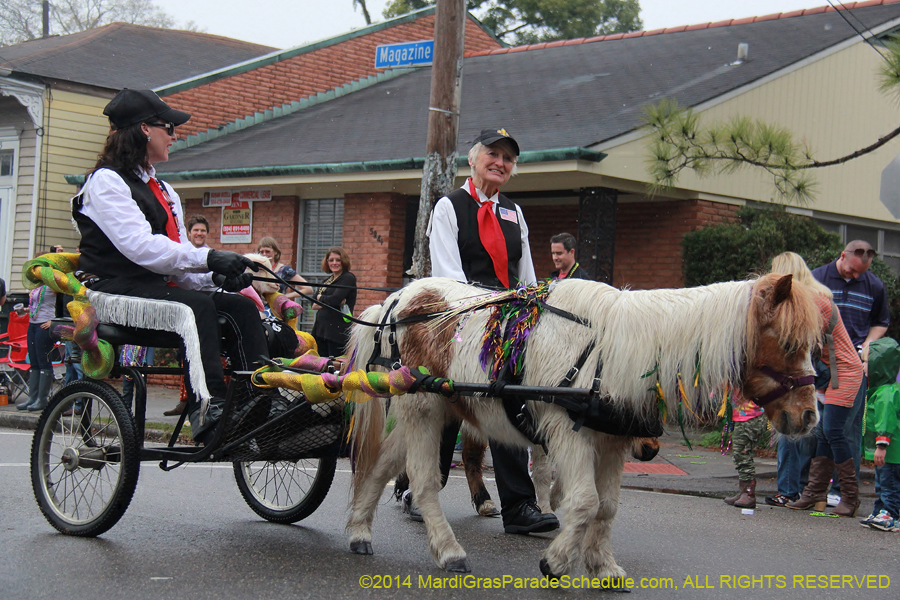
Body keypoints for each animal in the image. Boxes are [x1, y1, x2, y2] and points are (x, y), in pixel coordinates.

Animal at [344, 276, 824, 576]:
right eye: (788, 343)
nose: (809, 417)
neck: (612, 353)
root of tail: (398, 299)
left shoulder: (611, 443)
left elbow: (607, 506)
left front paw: (602, 566)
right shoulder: (567, 433)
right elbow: (584, 501)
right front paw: (556, 561)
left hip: (428, 409)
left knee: (382, 466)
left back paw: (359, 530)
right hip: (423, 407)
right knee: (423, 480)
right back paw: (448, 551)